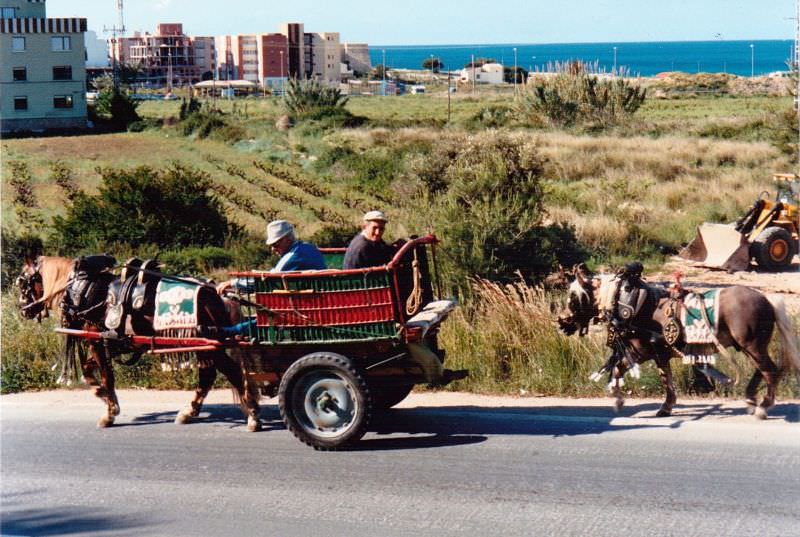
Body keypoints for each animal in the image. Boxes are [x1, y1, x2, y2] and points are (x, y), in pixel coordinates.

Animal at [556, 264, 800, 418]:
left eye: (574, 297)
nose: (561, 322)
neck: (632, 304)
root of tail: (767, 299)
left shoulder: (644, 352)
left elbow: (654, 377)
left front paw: (659, 407)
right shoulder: (651, 353)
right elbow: (633, 372)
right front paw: (623, 401)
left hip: (752, 345)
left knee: (770, 371)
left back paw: (763, 407)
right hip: (752, 347)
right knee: (763, 370)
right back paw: (751, 398)